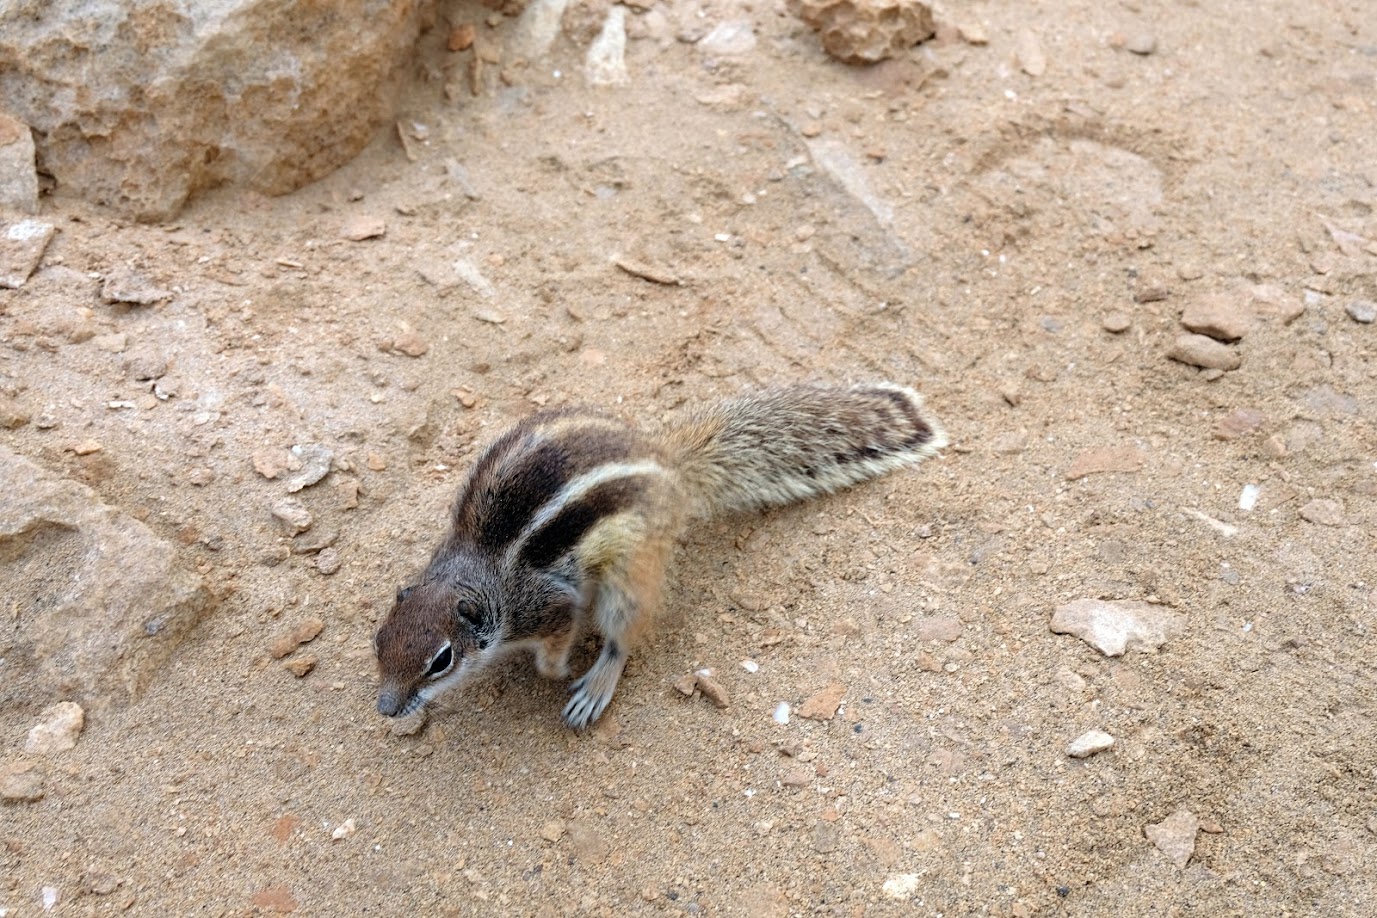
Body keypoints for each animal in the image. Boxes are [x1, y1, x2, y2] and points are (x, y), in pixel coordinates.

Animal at [377, 379, 947, 726]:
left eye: (441, 661)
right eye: (378, 641)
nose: (385, 708)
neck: (479, 569)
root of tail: (667, 460)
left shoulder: (548, 605)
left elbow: (558, 645)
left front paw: (556, 671)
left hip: (631, 571)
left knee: (624, 633)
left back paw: (597, 685)